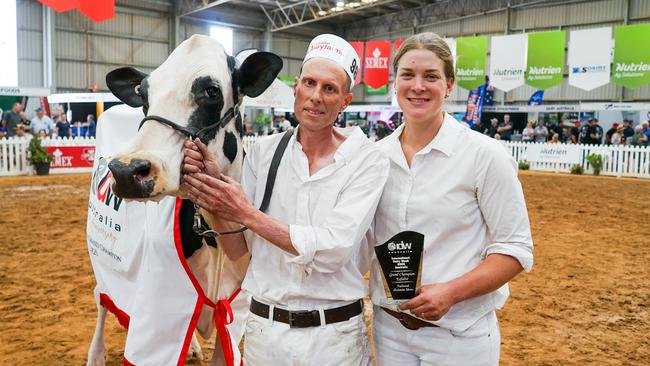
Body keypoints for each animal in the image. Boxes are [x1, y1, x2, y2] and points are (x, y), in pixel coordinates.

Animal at [87, 33, 280, 364]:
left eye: (211, 91)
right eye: (143, 93)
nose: (127, 171)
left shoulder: (234, 315)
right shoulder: (159, 310)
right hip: (103, 262)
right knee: (102, 299)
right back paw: (95, 354)